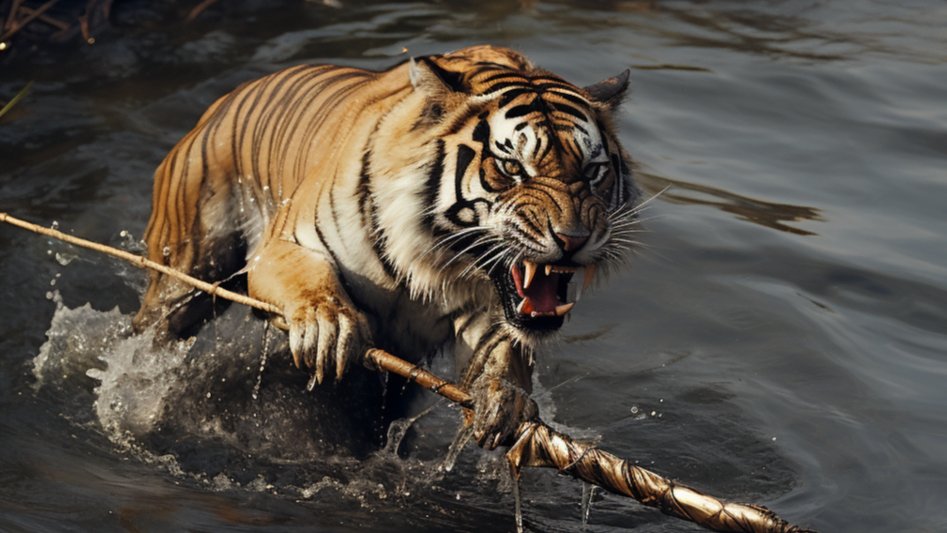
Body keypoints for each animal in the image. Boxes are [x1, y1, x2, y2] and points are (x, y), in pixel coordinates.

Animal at [134, 45, 639, 449]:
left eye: (593, 171)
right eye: (512, 167)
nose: (573, 239)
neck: (438, 255)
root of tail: (224, 101)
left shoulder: (491, 314)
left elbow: (505, 351)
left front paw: (506, 400)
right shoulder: (280, 247)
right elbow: (311, 282)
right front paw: (327, 326)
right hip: (186, 271)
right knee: (151, 332)